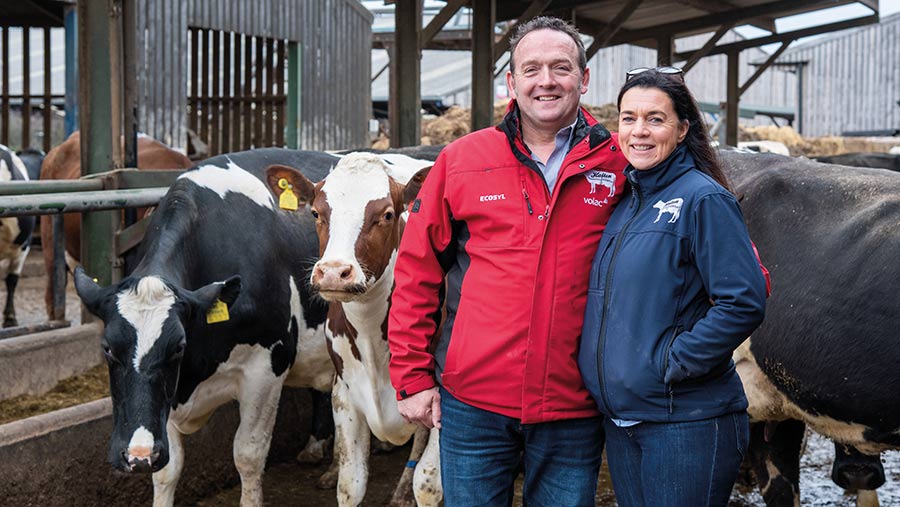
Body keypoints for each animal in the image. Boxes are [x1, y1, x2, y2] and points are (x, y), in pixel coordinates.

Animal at [74, 149, 342, 506]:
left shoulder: (267, 366)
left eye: (178, 347)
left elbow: (248, 455)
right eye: (106, 348)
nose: (137, 455)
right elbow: (167, 469)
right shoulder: (168, 396)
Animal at [270, 154, 442, 507]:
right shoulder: (345, 393)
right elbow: (351, 484)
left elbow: (428, 482)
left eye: (387, 214)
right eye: (316, 213)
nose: (334, 272)